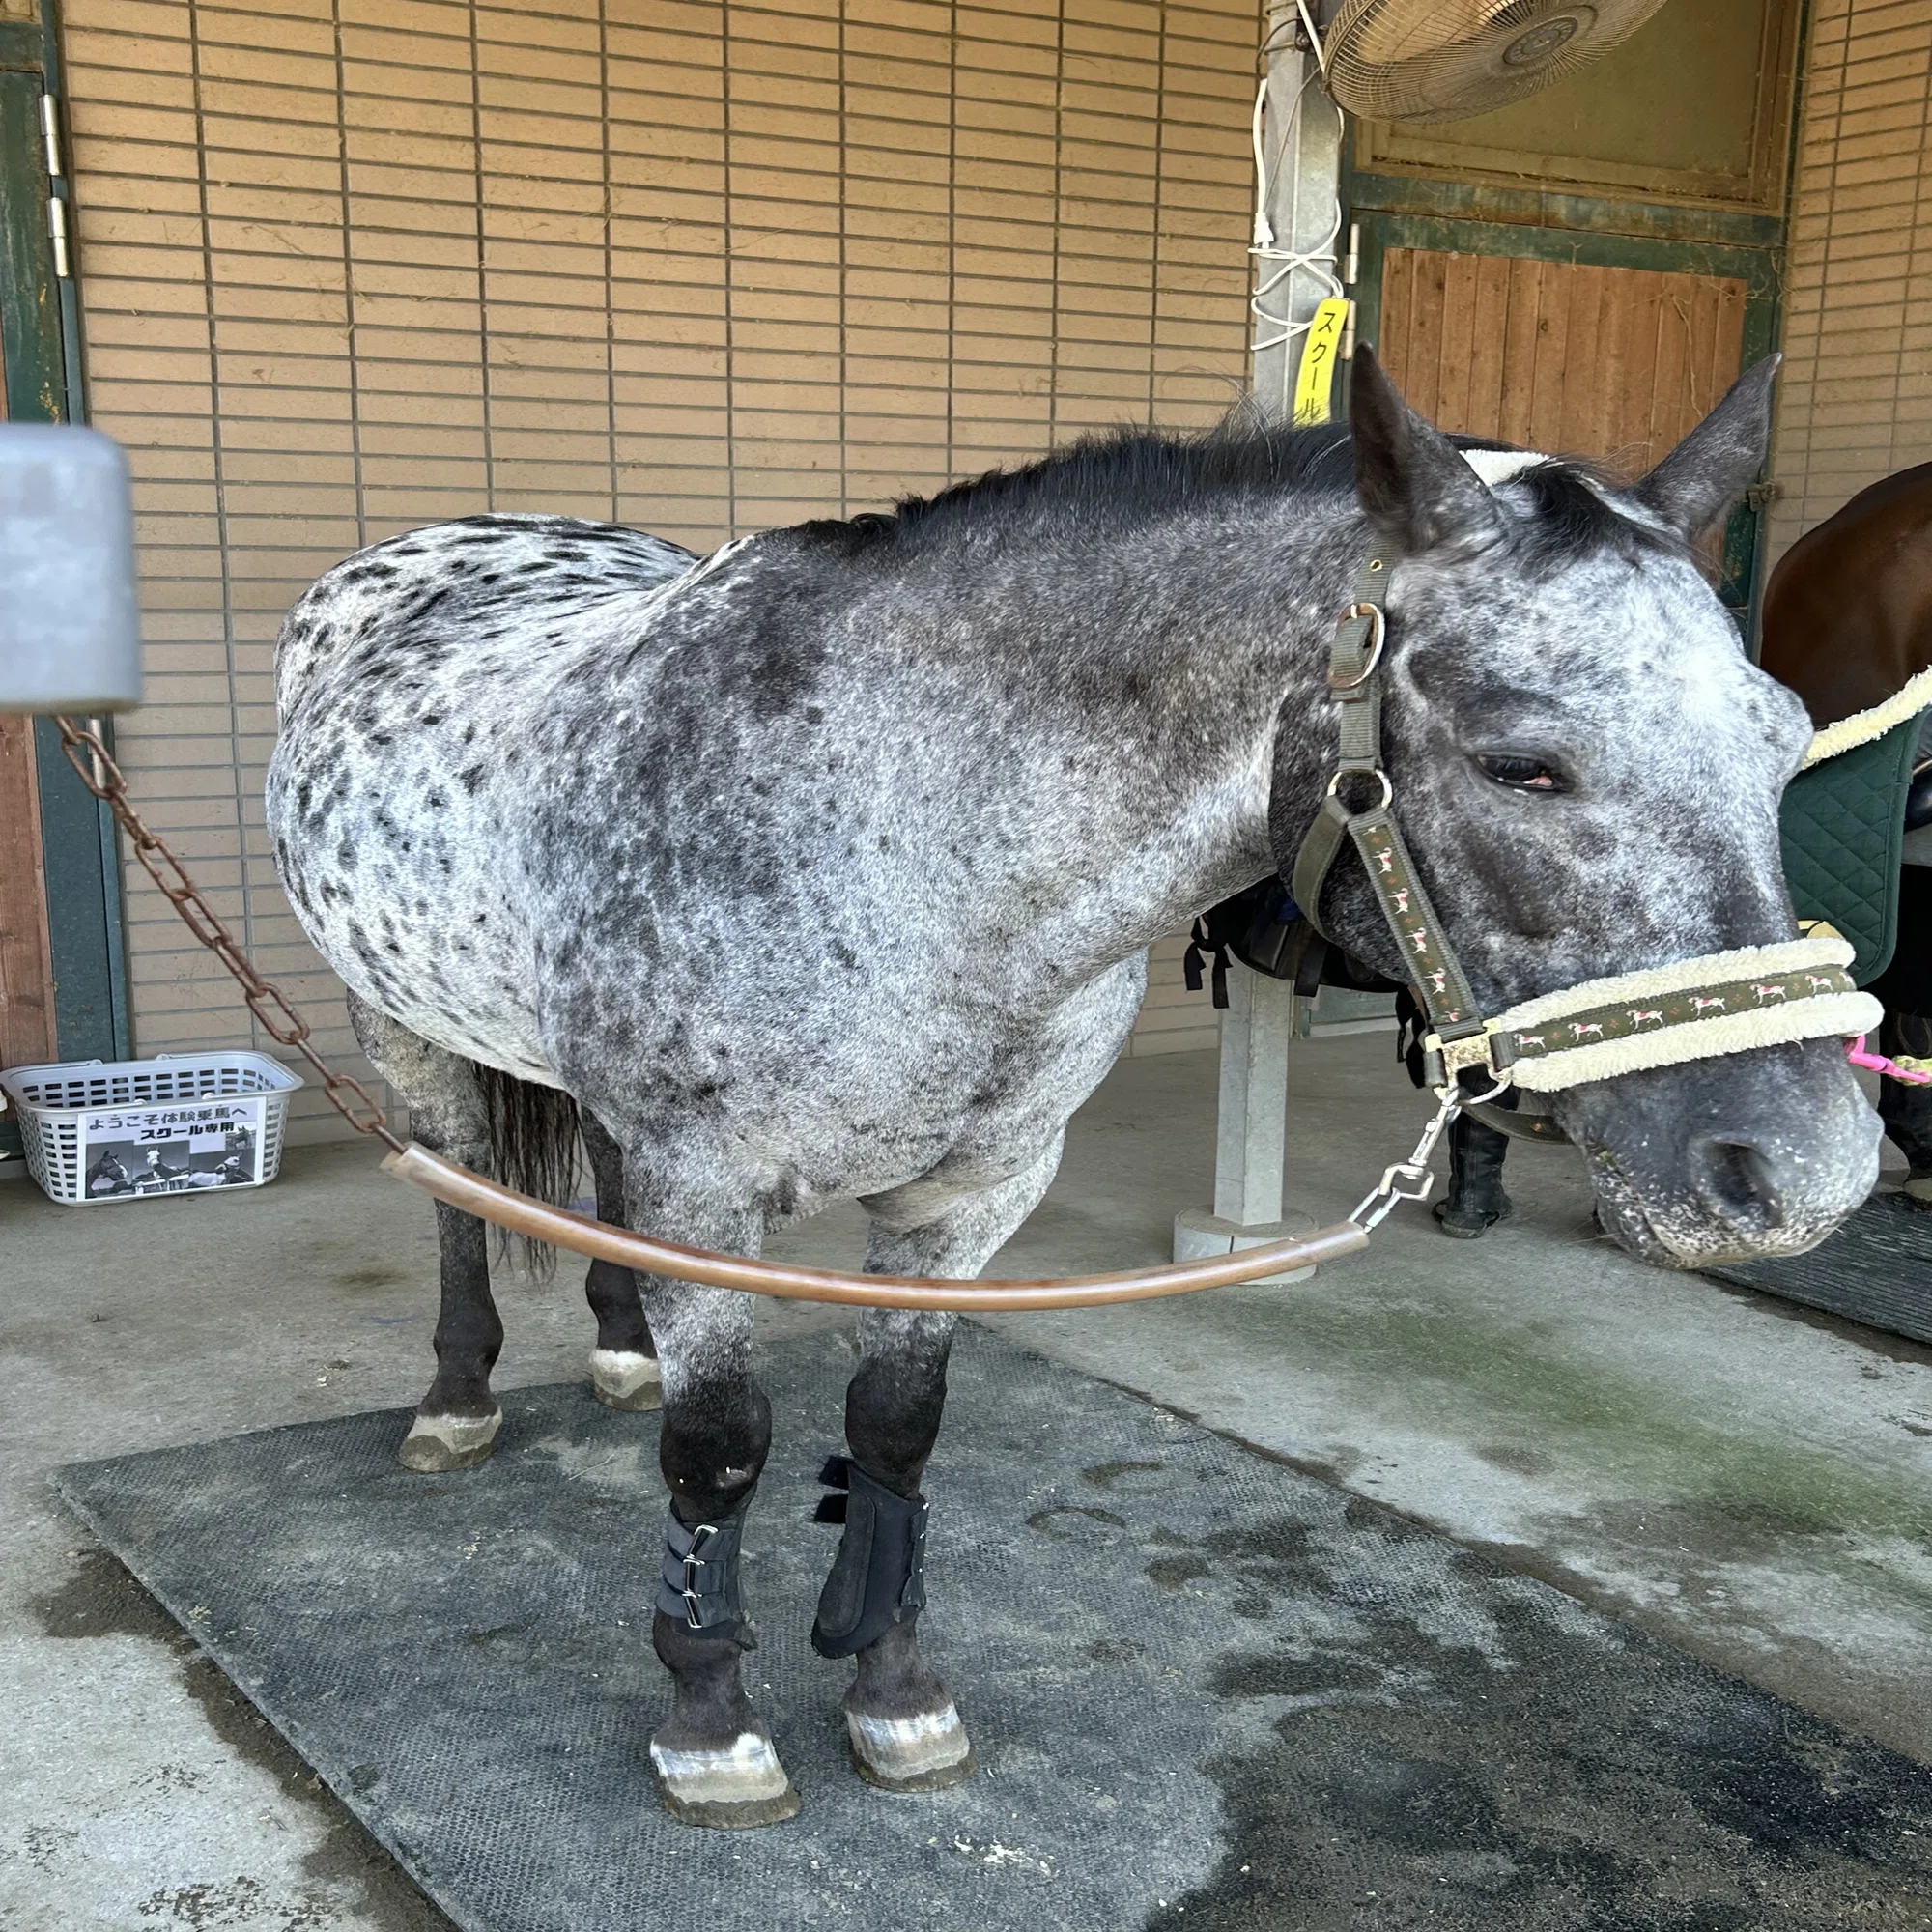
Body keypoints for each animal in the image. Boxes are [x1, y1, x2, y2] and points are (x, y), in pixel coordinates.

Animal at [266, 349, 1877, 1829]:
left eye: (1788, 740)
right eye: (1521, 763)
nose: (1806, 1172)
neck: (900, 828)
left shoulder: (974, 1197)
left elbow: (895, 1436)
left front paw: (896, 1697)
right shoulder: (709, 1191)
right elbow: (719, 1459)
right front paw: (711, 1724)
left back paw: (616, 1346)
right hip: (396, 1027)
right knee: (455, 1191)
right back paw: (456, 1400)